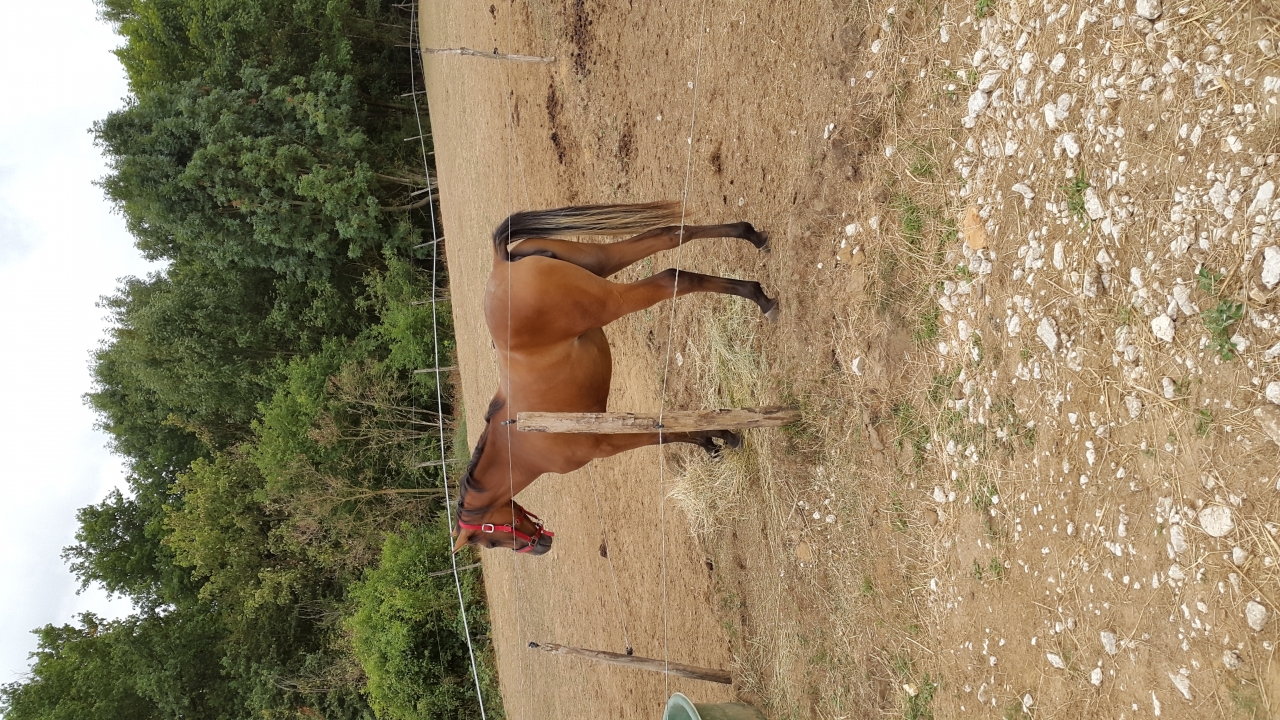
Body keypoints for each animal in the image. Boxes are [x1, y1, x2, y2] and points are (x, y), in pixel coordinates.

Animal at [451, 202, 776, 555]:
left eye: (490, 540)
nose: (542, 546)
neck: (520, 443)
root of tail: (501, 265)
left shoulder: (605, 443)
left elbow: (661, 434)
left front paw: (722, 437)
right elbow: (668, 426)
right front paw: (712, 440)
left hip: (612, 301)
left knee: (671, 278)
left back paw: (760, 297)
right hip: (602, 260)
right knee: (669, 234)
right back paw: (753, 238)